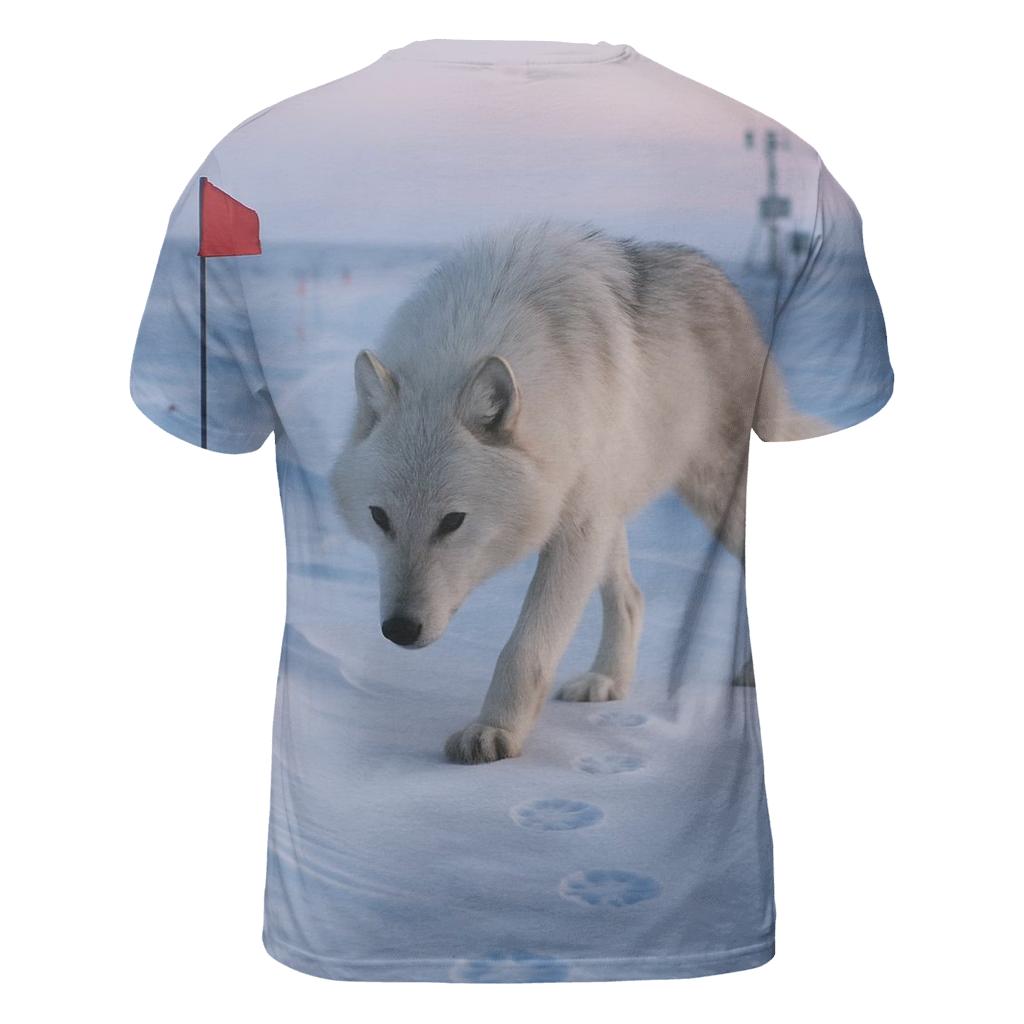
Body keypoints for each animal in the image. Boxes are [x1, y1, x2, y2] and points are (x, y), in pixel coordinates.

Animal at [331, 221, 817, 764]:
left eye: (452, 522)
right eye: (380, 518)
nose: (399, 629)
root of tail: (732, 294)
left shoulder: (575, 530)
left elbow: (525, 649)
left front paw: (494, 731)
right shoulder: (587, 519)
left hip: (714, 501)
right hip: (612, 514)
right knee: (631, 598)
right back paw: (607, 681)